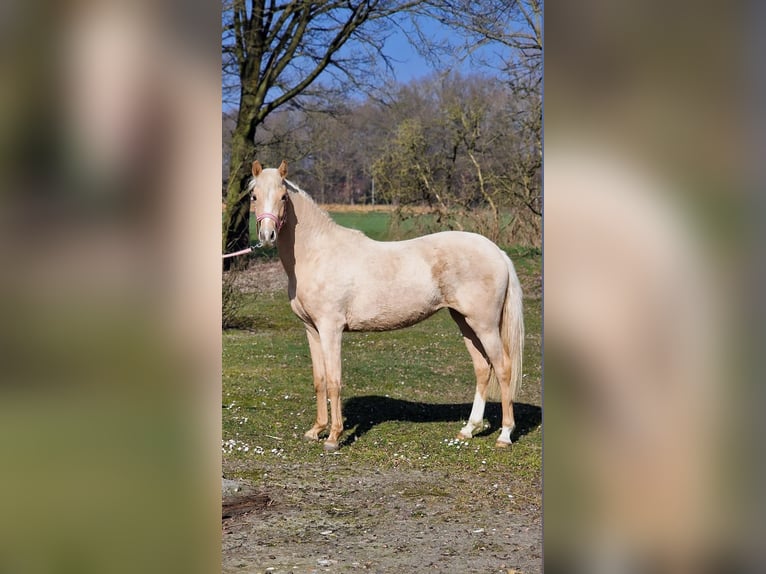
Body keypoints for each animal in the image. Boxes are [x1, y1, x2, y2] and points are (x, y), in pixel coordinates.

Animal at [249, 160, 524, 452]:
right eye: (254, 196)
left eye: (283, 197)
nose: (267, 235)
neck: (318, 253)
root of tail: (498, 252)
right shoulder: (312, 329)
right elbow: (320, 380)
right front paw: (316, 430)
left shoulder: (330, 329)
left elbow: (334, 381)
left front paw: (334, 437)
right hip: (465, 323)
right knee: (483, 369)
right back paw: (468, 430)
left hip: (485, 326)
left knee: (503, 368)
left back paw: (505, 435)